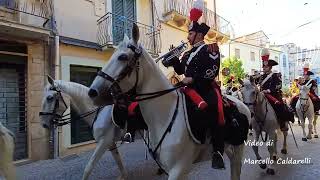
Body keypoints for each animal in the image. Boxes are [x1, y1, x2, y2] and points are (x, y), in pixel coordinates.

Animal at [89, 24, 251, 180]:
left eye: (122, 57)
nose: (93, 92)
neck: (165, 115)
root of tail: (242, 105)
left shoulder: (179, 169)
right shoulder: (175, 169)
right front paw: (172, 57)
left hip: (238, 148)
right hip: (229, 147)